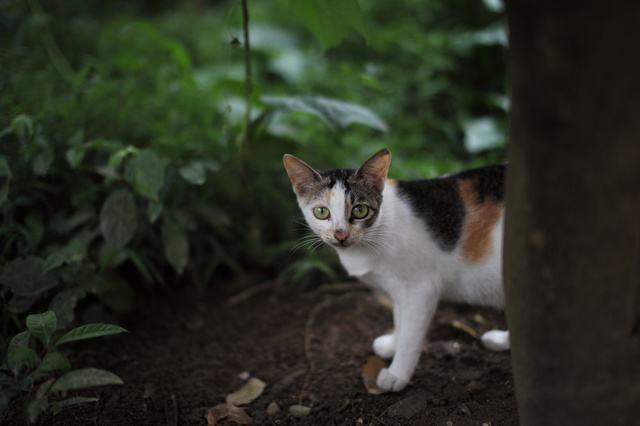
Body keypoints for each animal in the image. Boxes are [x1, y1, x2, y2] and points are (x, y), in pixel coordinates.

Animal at [282, 149, 508, 392]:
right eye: (321, 212)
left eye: (360, 210)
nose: (340, 234)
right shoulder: (399, 289)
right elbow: (400, 319)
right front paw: (392, 345)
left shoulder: (421, 289)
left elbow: (410, 335)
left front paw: (396, 374)